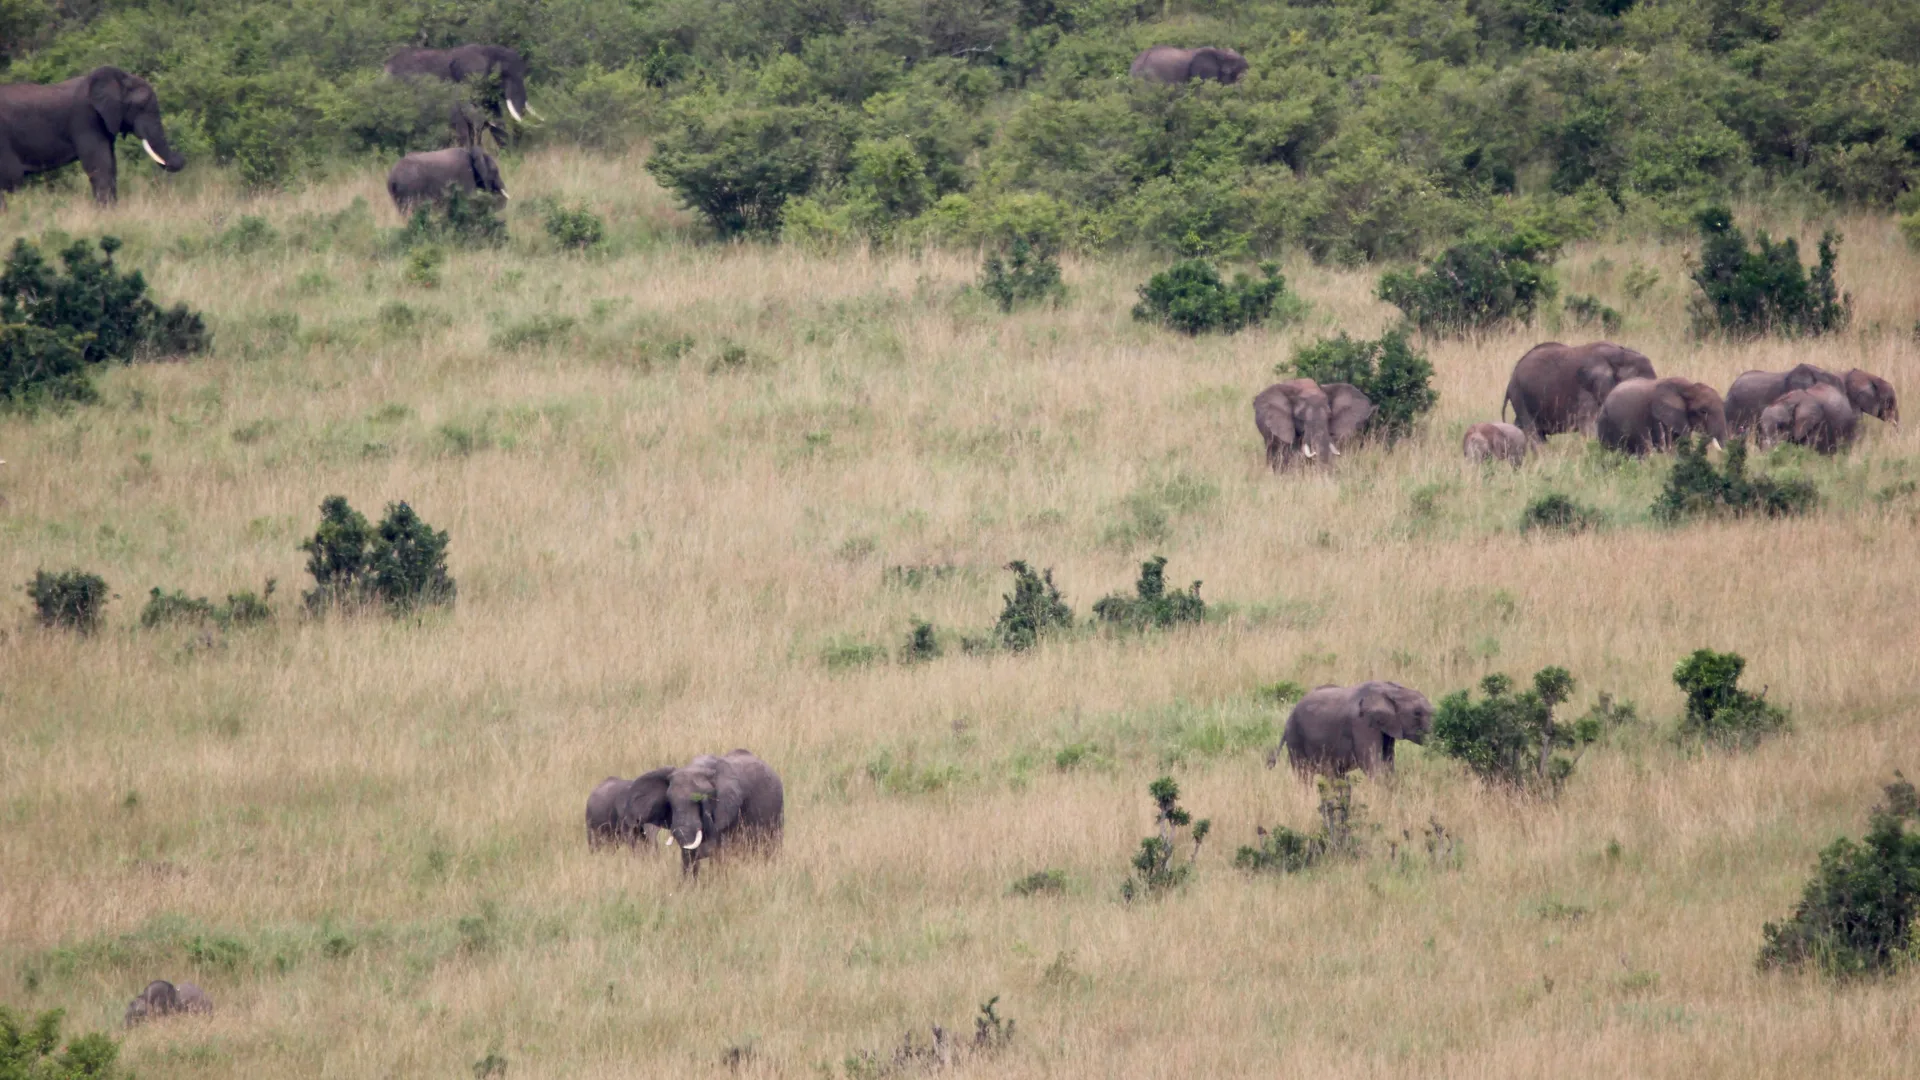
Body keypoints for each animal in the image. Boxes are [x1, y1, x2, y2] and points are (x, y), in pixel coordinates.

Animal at [0, 66, 185, 208]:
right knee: (11, 179)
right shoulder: (85, 119)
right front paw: (106, 213)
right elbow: (100, 165)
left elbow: (111, 164)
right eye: (141, 107)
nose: (182, 157)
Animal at [1265, 682, 1434, 778]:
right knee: (1304, 774)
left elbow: (1388, 762)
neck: (1392, 690)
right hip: (1295, 737)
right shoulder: (1362, 723)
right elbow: (1371, 763)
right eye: (1417, 713)